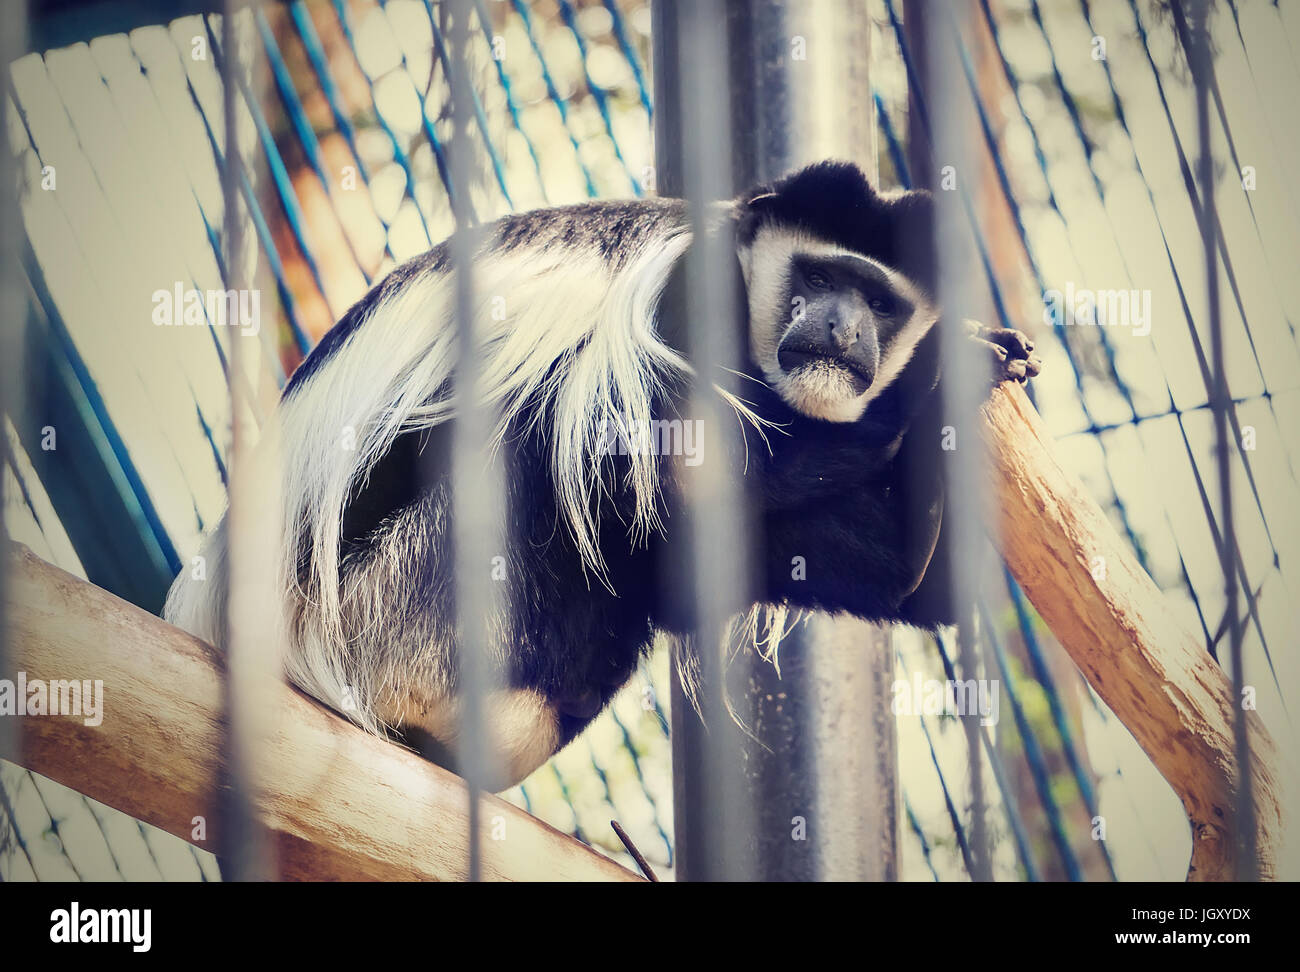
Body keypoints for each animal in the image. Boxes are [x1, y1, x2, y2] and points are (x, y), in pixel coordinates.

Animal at [162, 161, 1040, 790]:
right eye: (820, 278)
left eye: (880, 303)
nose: (841, 329)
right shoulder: (686, 298)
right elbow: (678, 468)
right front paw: (946, 365)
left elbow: (899, 585)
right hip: (378, 612)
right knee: (540, 448)